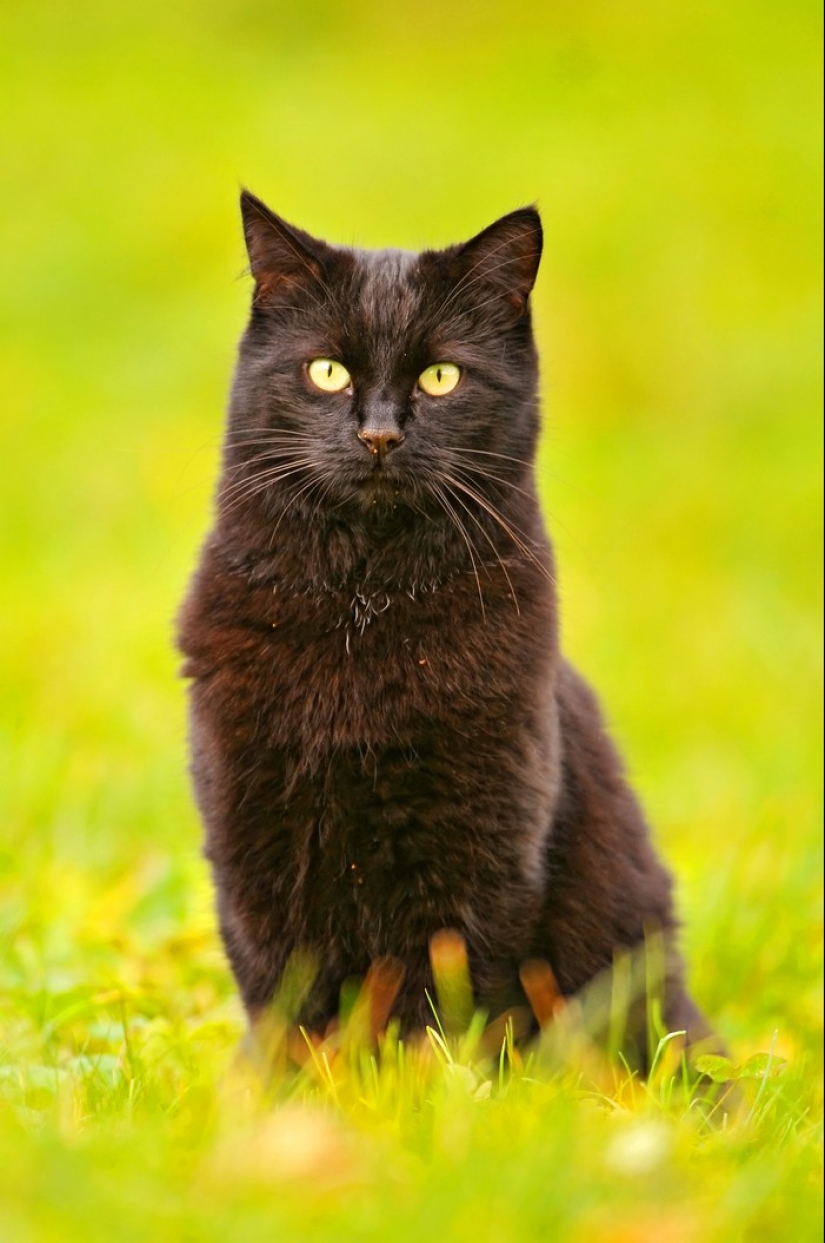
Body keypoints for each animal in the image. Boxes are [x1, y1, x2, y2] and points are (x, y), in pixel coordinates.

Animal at [178, 188, 715, 1064]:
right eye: (326, 371)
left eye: (440, 377)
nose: (379, 434)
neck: (362, 608)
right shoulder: (250, 837)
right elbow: (284, 997)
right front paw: (293, 1089)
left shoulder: (482, 848)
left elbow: (440, 1001)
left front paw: (421, 1087)